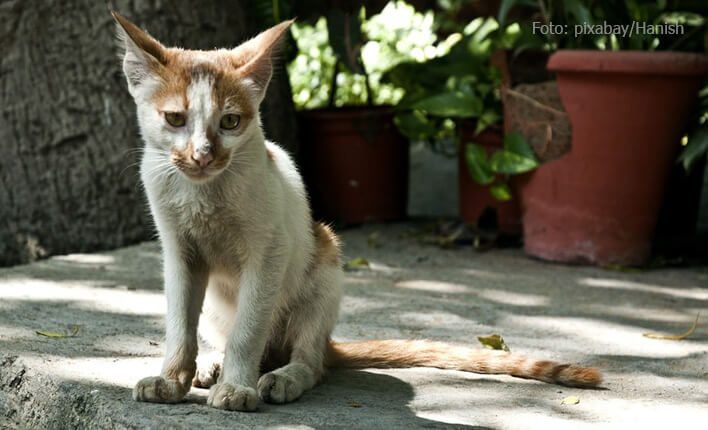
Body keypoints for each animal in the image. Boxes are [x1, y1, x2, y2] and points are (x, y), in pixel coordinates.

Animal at [113, 11, 600, 412]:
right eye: (175, 119)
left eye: (230, 123)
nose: (202, 155)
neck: (204, 194)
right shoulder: (179, 252)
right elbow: (179, 323)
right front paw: (171, 379)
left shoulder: (269, 251)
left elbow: (248, 330)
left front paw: (237, 387)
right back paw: (212, 365)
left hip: (325, 259)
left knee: (309, 359)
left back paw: (282, 377)